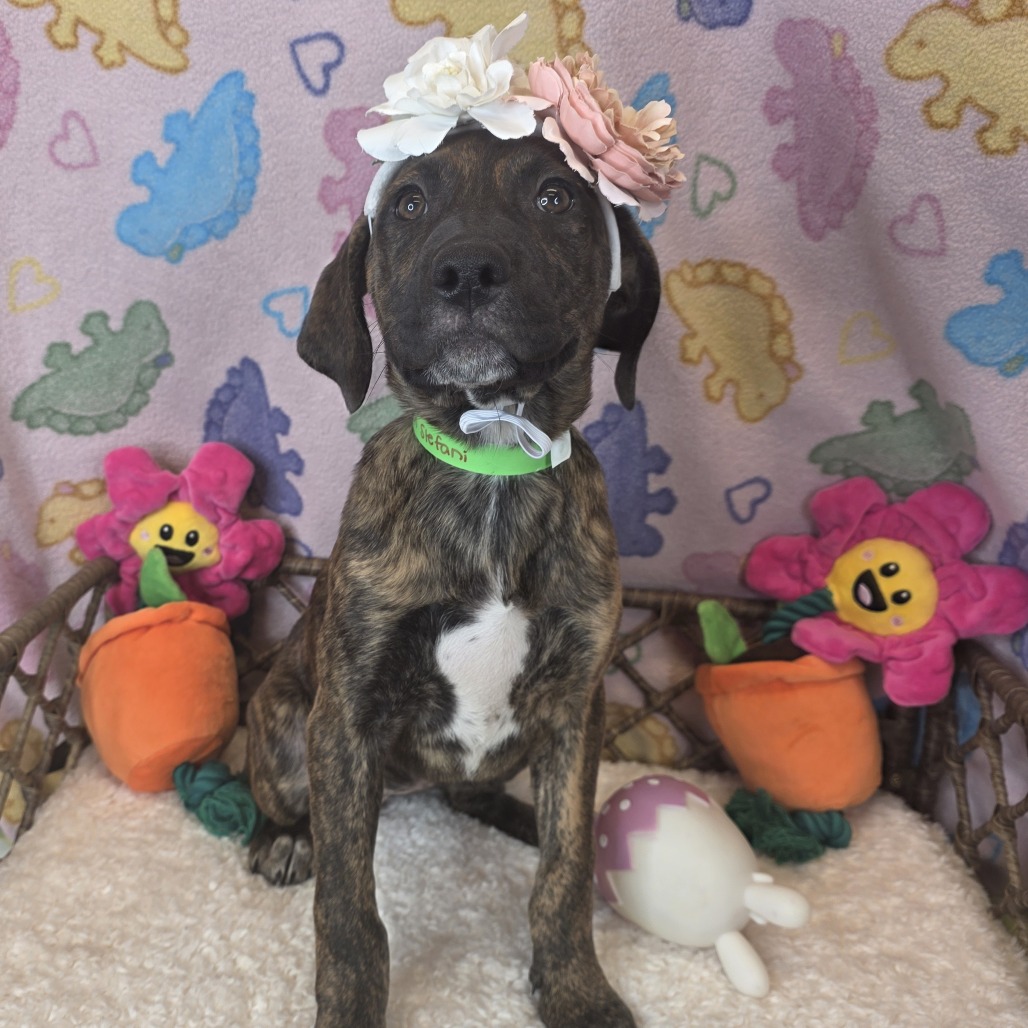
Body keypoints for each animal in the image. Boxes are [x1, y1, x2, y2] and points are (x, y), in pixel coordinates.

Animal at [246, 127, 661, 1027]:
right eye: (408, 203)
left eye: (555, 196)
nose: (467, 271)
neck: (494, 465)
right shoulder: (347, 715)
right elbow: (348, 905)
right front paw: (350, 1007)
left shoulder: (578, 705)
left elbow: (565, 875)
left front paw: (576, 989)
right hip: (288, 729)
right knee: (277, 800)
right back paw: (282, 840)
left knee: (485, 798)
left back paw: (515, 814)